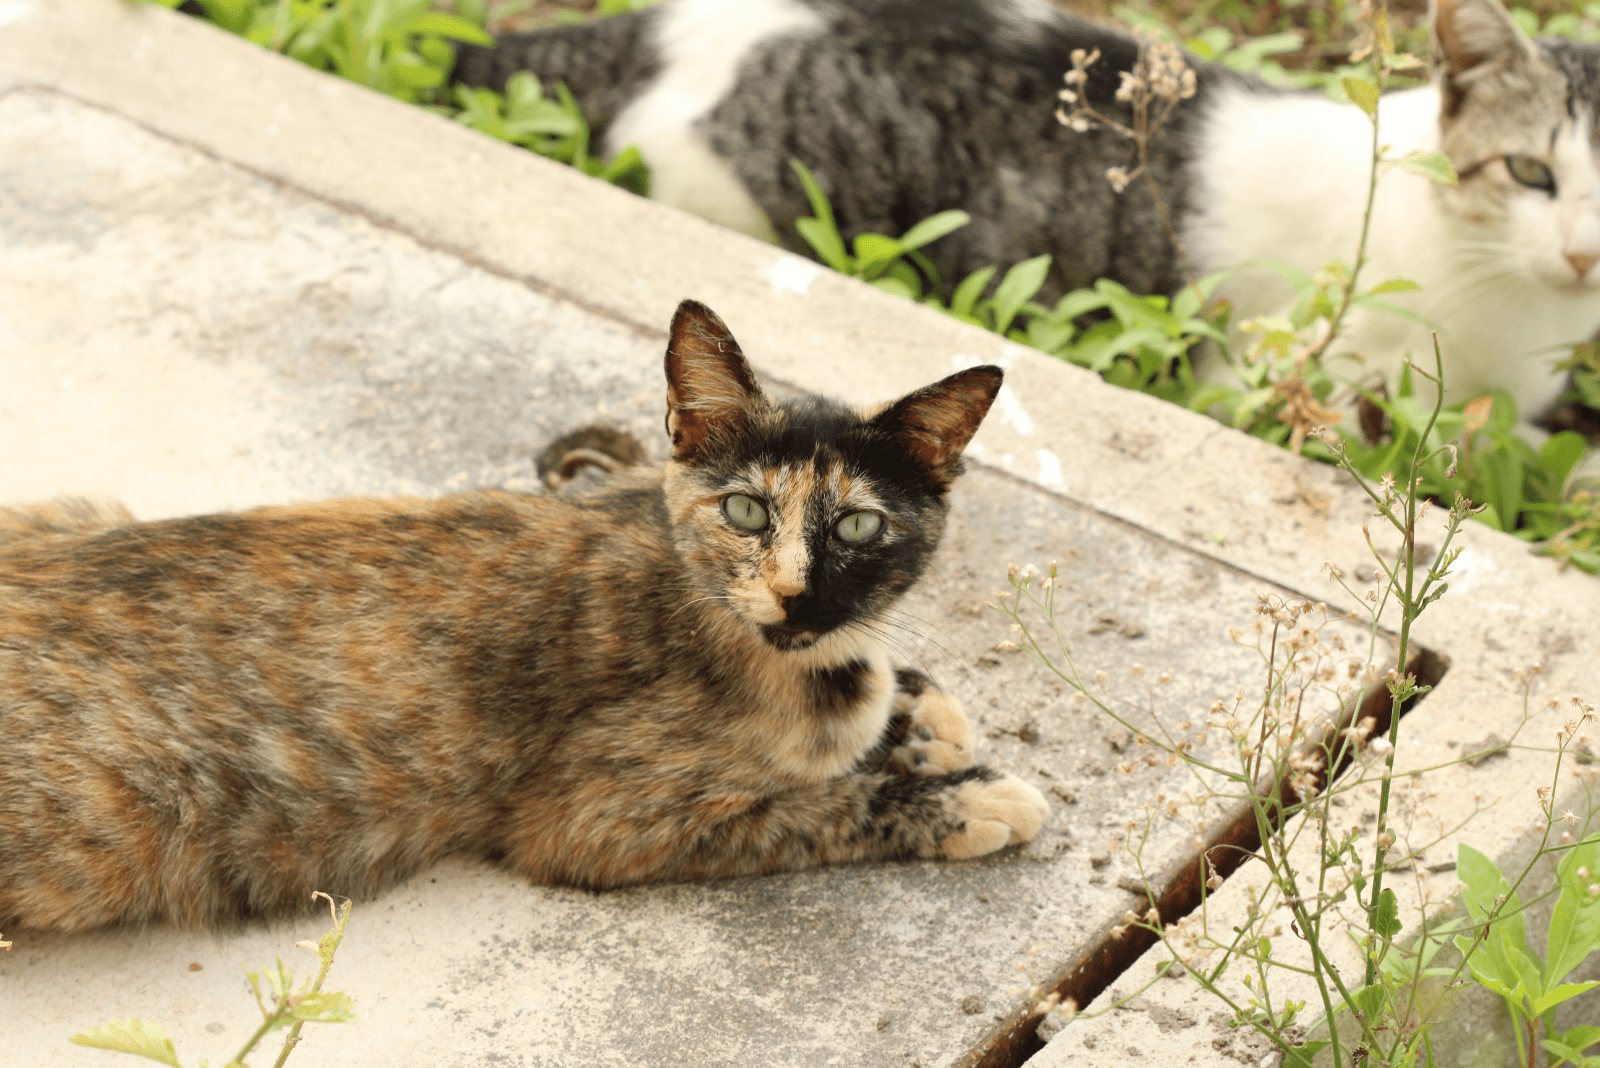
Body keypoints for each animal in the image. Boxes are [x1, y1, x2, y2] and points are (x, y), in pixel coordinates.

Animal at [0, 302, 1049, 933]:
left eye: (862, 525)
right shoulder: (594, 821)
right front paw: (973, 797)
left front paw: (924, 716)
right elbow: (822, 803)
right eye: (748, 511)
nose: (797, 592)